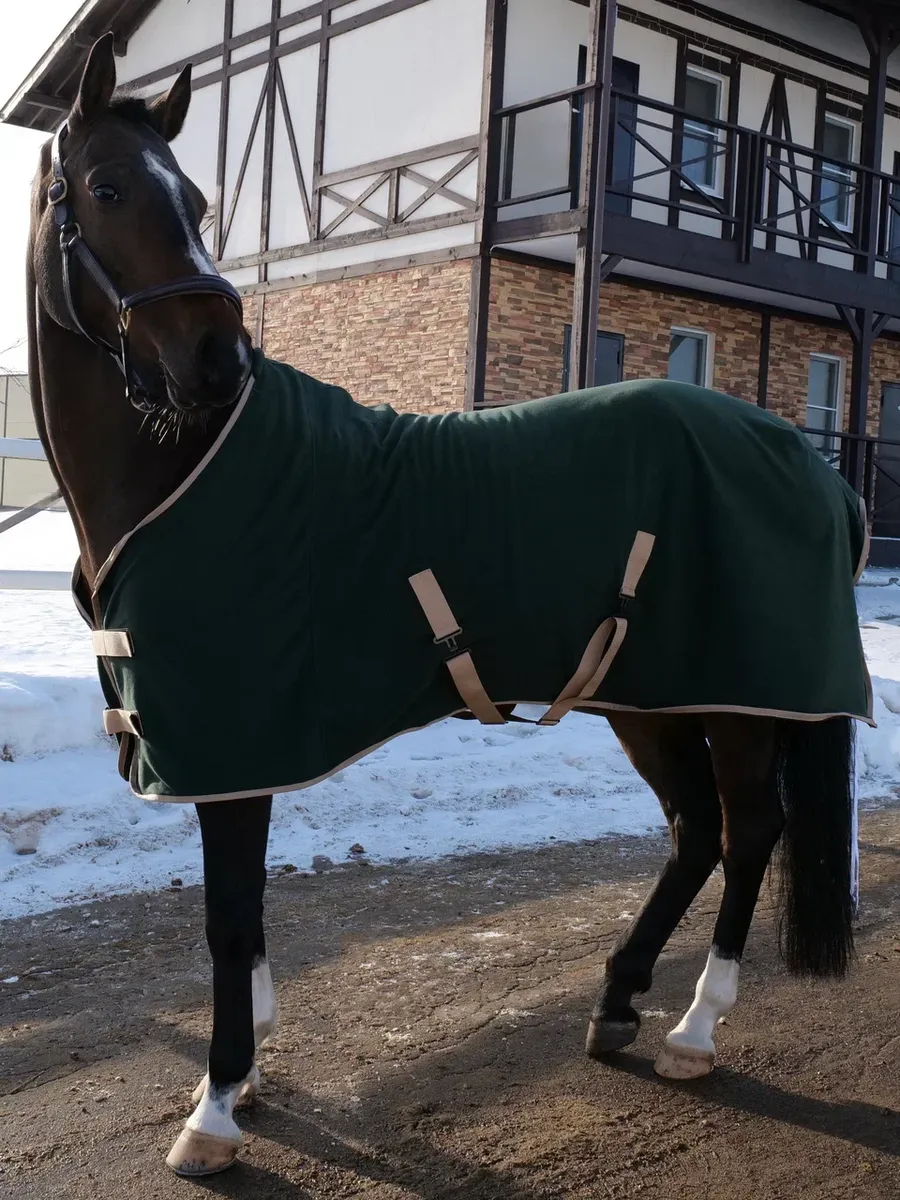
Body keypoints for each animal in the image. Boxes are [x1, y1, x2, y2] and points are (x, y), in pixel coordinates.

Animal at [27, 33, 869, 1178]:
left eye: (194, 199)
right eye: (108, 188)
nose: (216, 359)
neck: (183, 471)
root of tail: (811, 463)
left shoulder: (234, 749)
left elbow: (229, 916)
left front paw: (218, 1102)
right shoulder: (235, 749)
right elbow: (243, 913)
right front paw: (249, 1057)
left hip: (739, 704)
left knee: (748, 833)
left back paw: (696, 1027)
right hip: (649, 697)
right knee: (696, 829)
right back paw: (616, 1001)